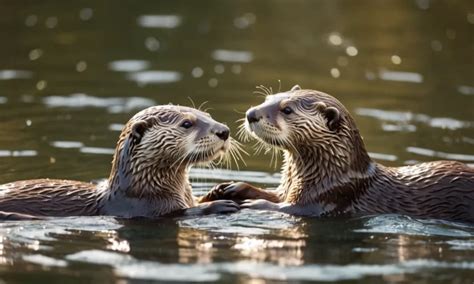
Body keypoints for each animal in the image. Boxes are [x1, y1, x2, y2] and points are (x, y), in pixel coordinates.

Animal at [0, 105, 241, 220]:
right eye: (187, 124)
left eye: (207, 115)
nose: (223, 131)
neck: (146, 188)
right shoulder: (146, 209)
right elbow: (181, 213)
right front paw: (218, 206)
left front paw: (223, 190)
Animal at [202, 85, 474, 223]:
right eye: (269, 98)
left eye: (287, 110)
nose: (251, 114)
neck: (332, 173)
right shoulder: (290, 188)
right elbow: (275, 194)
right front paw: (232, 188)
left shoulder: (328, 197)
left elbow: (289, 208)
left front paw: (254, 205)